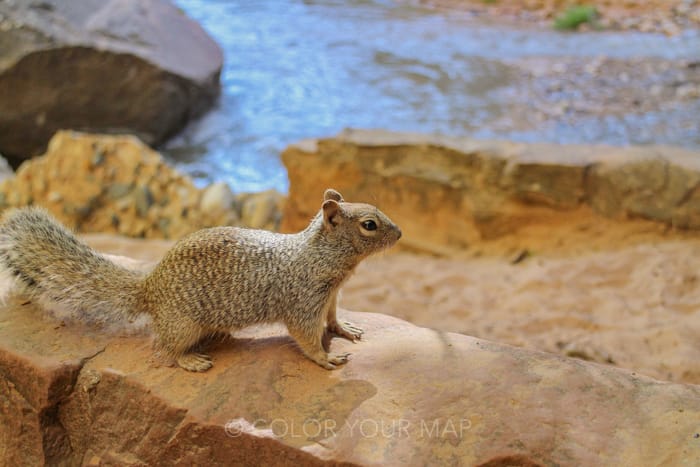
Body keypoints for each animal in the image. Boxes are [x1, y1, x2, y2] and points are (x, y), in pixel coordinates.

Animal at [0, 190, 400, 372]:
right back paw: (191, 361)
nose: (400, 233)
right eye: (369, 224)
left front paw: (346, 328)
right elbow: (306, 336)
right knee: (165, 349)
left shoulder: (329, 296)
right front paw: (326, 358)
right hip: (183, 325)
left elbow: (332, 318)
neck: (320, 256)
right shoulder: (302, 302)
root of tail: (149, 288)